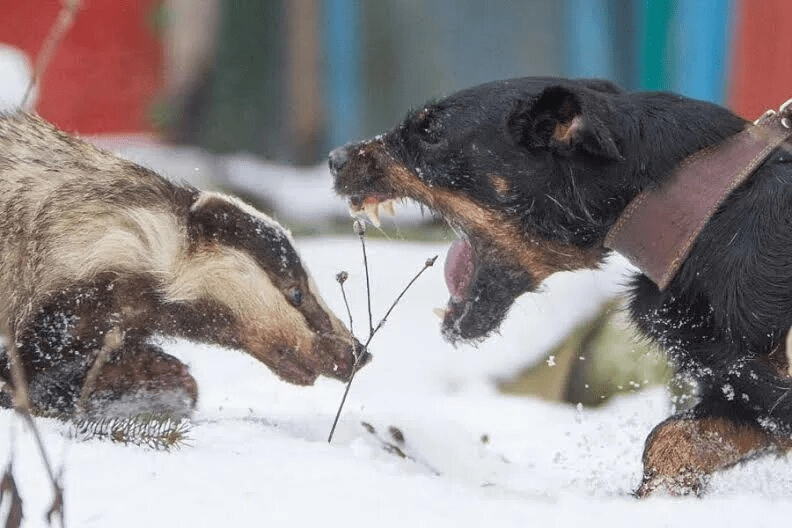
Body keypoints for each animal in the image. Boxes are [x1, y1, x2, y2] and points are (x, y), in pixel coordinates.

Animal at [328, 77, 792, 496]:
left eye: (431, 133)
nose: (334, 158)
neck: (712, 212)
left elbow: (670, 439)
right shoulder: (745, 394)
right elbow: (670, 440)